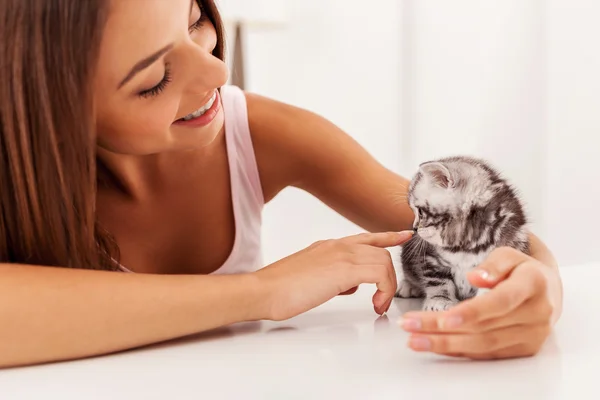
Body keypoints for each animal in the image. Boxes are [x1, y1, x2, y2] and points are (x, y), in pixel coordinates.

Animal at [396, 156, 528, 312]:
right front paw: (439, 300)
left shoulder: (508, 250)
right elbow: (437, 281)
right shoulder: (430, 258)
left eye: (420, 212)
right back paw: (408, 286)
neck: (466, 245)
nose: (414, 228)